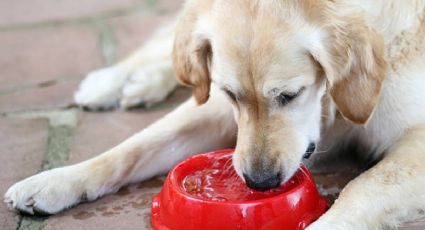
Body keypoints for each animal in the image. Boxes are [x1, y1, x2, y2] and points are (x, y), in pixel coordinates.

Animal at [3, 0, 424, 229]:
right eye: (231, 93)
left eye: (290, 95)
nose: (259, 182)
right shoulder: (217, 107)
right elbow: (131, 149)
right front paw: (56, 181)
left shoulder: (416, 144)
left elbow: (363, 187)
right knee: (176, 44)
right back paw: (114, 81)